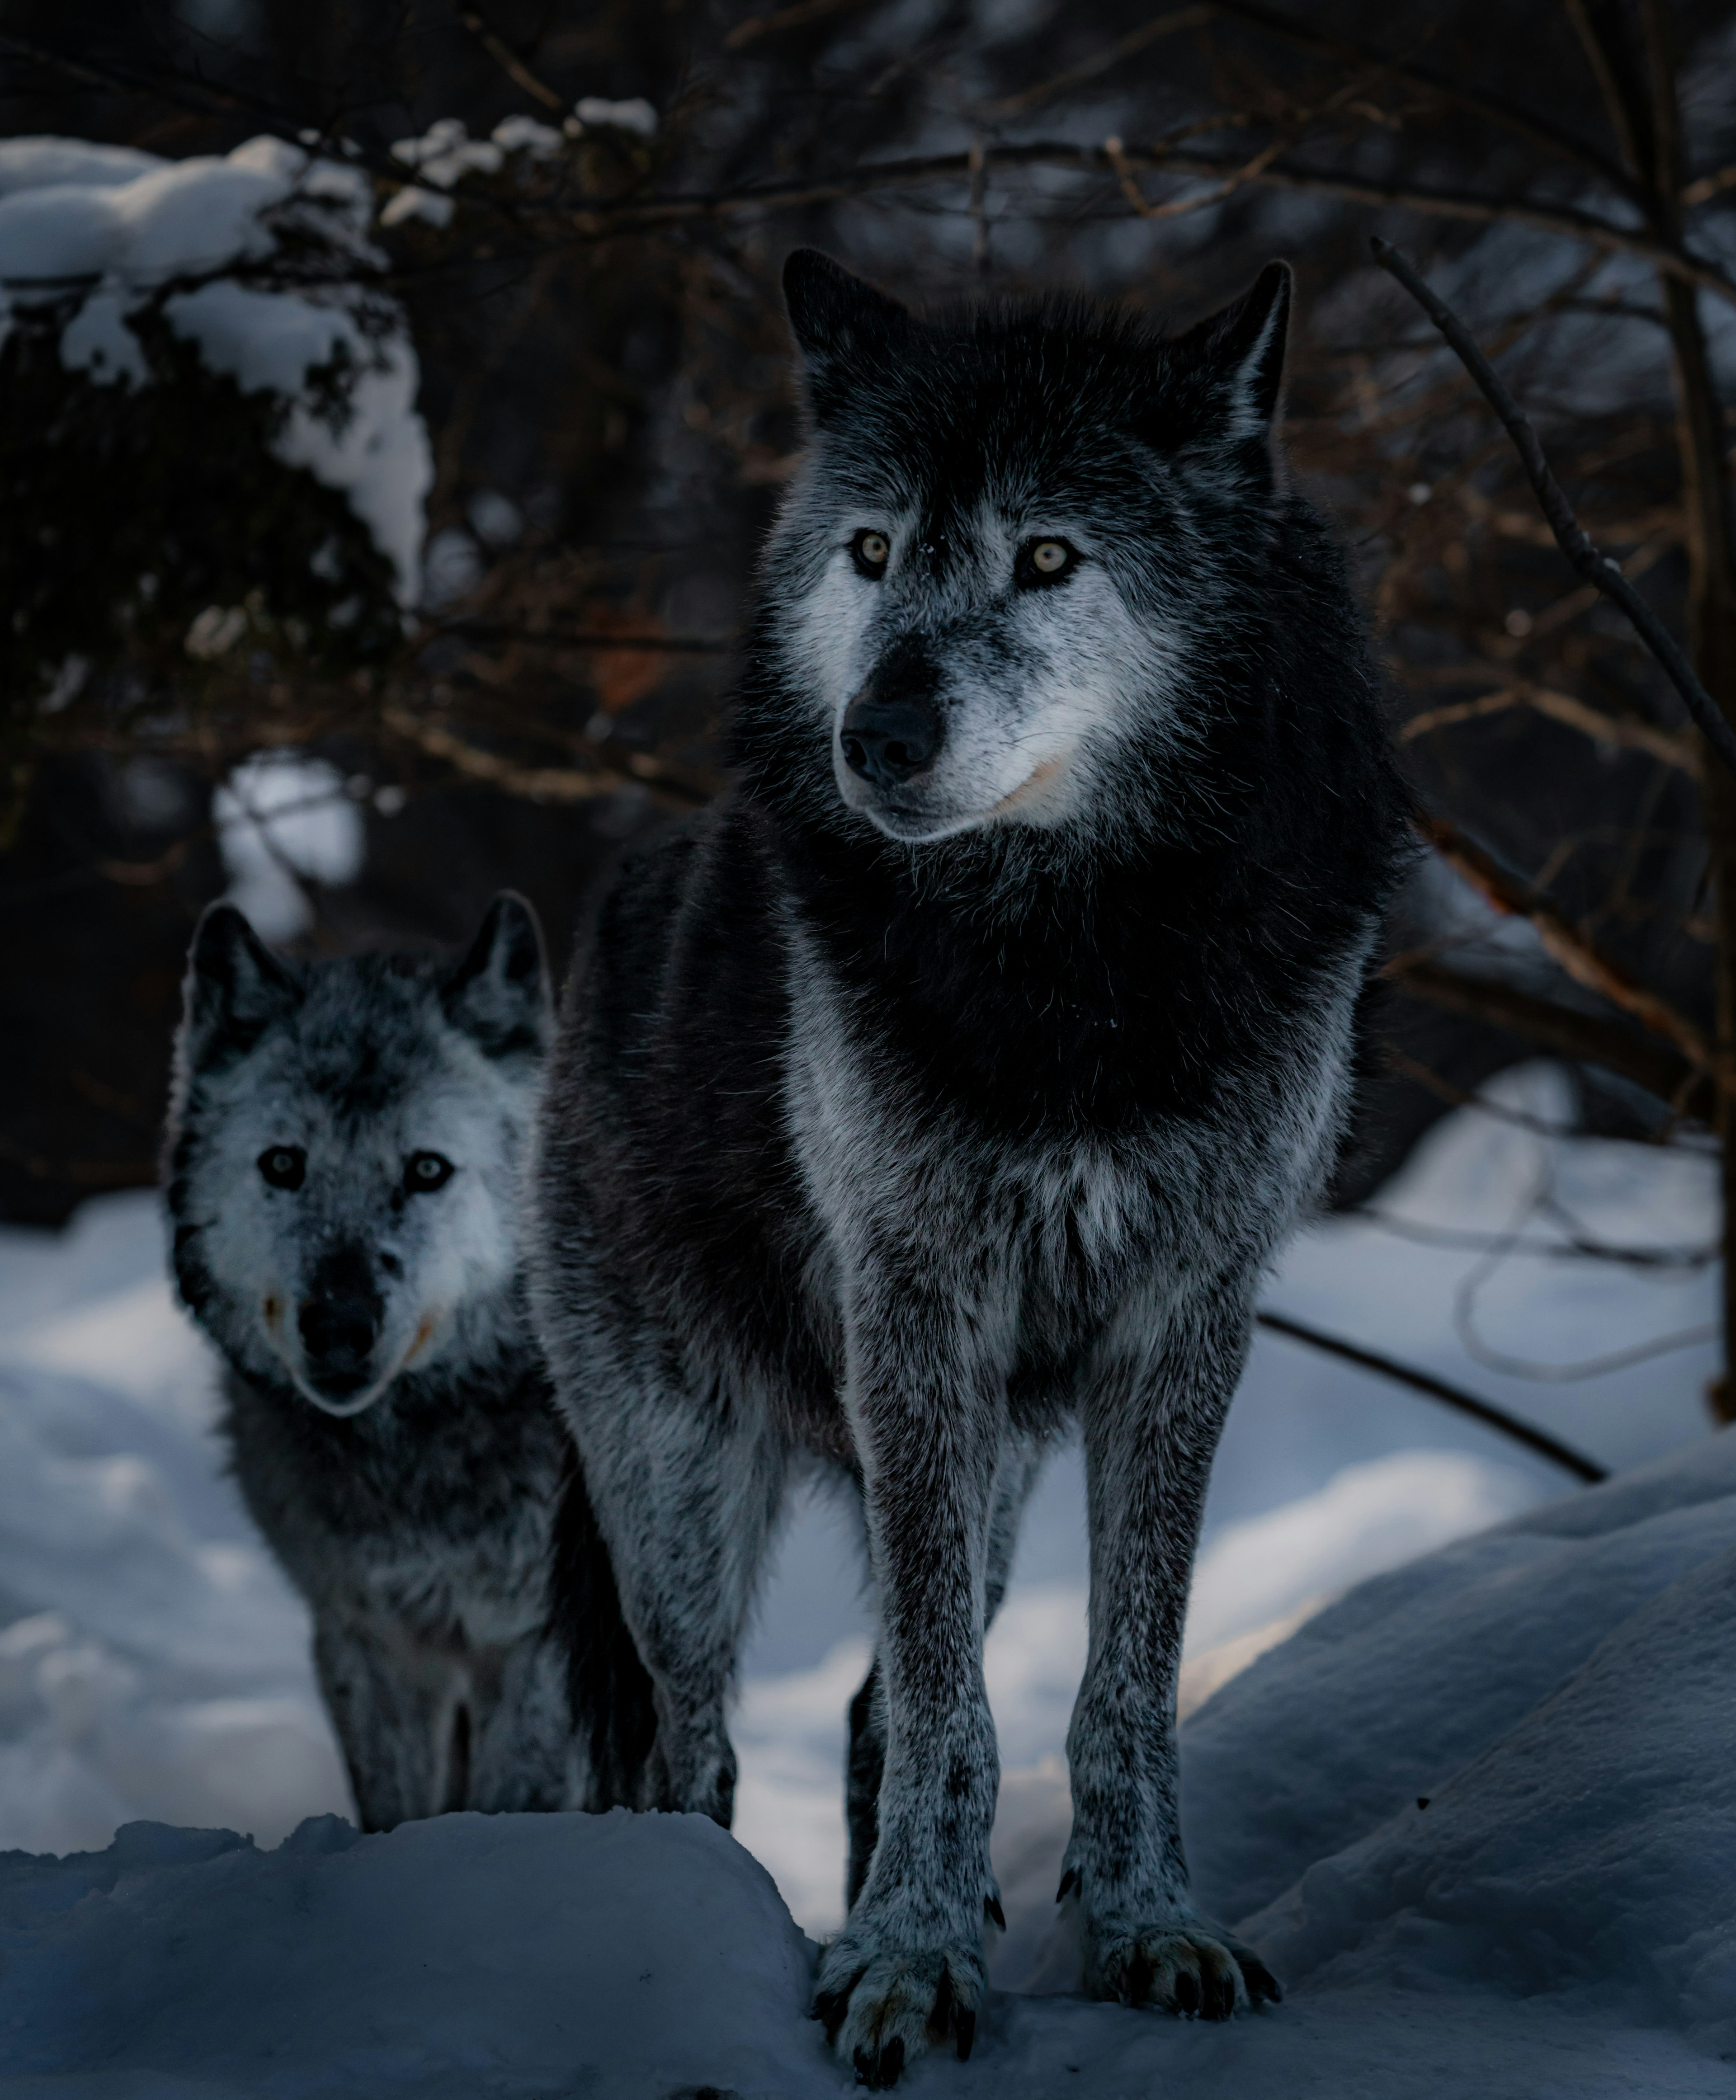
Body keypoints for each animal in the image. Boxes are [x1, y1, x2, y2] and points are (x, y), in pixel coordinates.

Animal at [168, 895, 651, 1831]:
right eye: (283, 1164)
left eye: (427, 1169)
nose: (339, 1326)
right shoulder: (366, 1635)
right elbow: (395, 1806)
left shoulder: (535, 1640)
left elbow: (514, 1798)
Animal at [533, 250, 1410, 2083]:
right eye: (871, 551)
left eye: (1050, 555)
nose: (876, 733)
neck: (1071, 966)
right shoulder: (914, 1308)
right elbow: (954, 1705)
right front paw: (905, 1957)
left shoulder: (1183, 1320)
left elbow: (1116, 1681)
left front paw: (1145, 1929)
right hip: (687, 1496)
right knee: (688, 1751)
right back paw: (700, 1936)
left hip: (983, 1465)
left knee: (872, 1698)